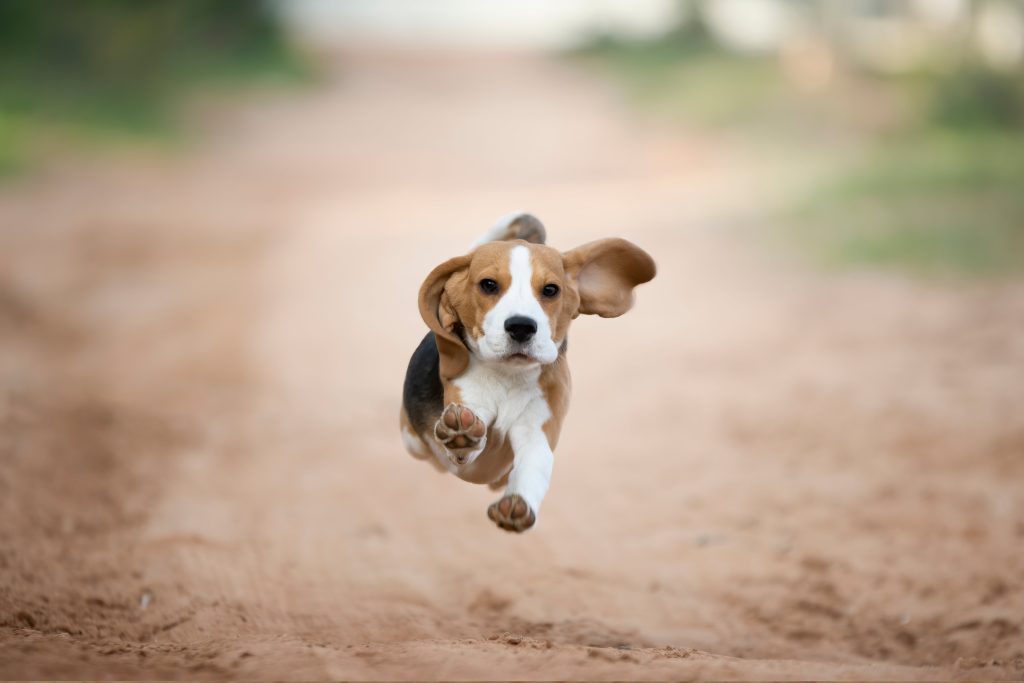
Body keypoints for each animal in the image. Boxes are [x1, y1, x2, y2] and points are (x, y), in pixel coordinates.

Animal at [399, 214, 655, 532]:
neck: (508, 377)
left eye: (550, 290)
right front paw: (461, 434)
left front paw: (517, 504)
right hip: (413, 441)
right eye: (488, 285)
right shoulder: (466, 406)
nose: (521, 326)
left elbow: (533, 465)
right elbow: (466, 442)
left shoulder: (538, 429)